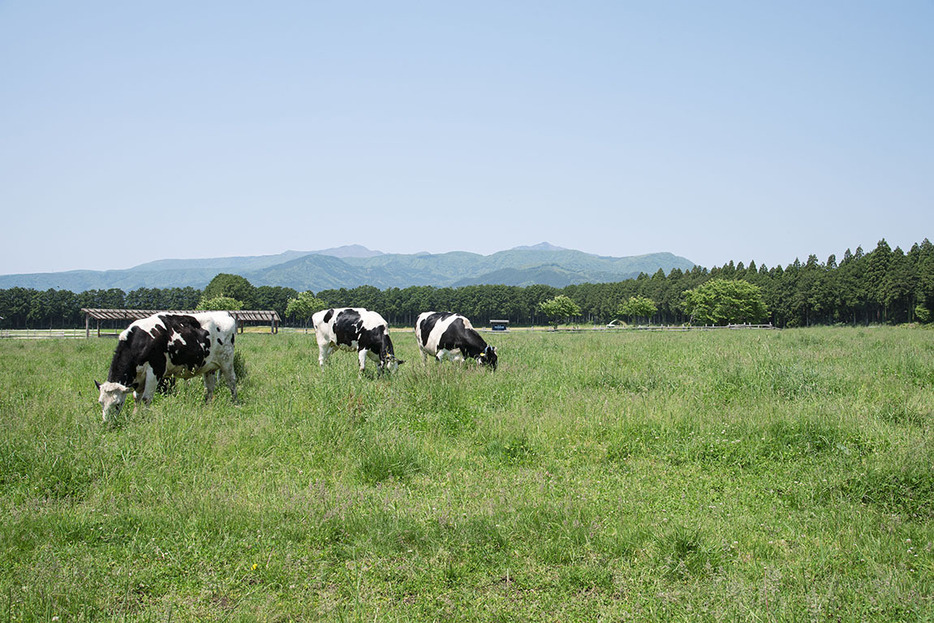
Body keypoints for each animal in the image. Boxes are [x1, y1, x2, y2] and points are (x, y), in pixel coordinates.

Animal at [95, 310, 238, 422]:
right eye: (100, 402)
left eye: (117, 404)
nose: (107, 423)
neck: (140, 341)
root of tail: (224, 313)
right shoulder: (138, 377)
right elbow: (137, 398)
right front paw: (135, 415)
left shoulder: (155, 371)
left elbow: (146, 398)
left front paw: (143, 417)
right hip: (209, 367)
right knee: (209, 388)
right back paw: (207, 405)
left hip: (227, 361)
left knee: (231, 382)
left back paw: (234, 403)